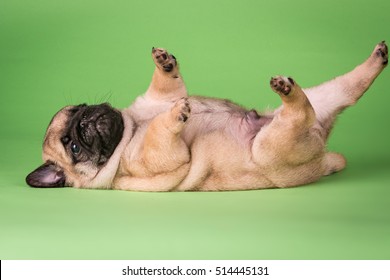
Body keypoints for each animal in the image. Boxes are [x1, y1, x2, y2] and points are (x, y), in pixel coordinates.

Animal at [25, 42, 388, 190]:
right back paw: (286, 90)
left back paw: (377, 57)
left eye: (81, 107)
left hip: (328, 95)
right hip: (275, 144)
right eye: (73, 147)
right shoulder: (156, 158)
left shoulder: (160, 95)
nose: (86, 120)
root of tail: (321, 158)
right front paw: (175, 115)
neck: (130, 127)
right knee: (299, 109)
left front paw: (163, 63)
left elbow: (168, 85)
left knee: (349, 87)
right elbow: (161, 132)